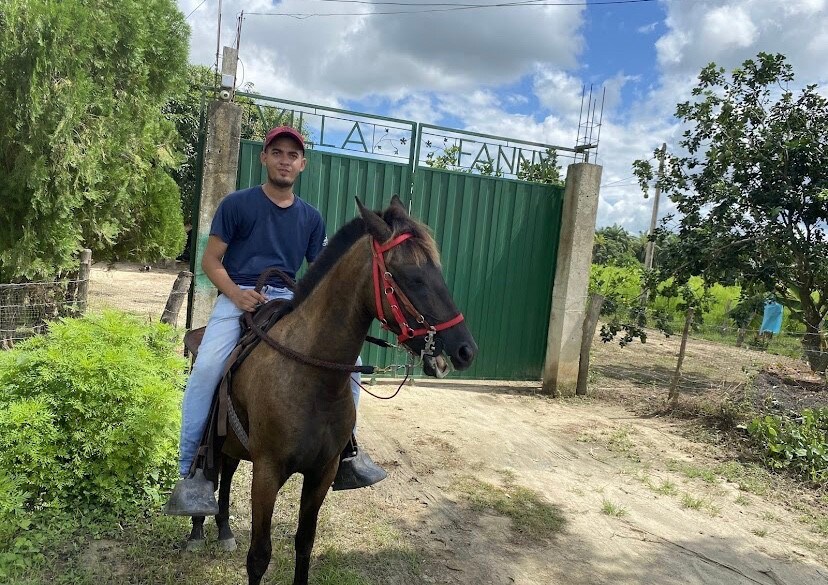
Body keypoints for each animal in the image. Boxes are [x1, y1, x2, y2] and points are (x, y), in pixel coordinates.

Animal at [186, 196, 472, 584]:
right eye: (413, 277)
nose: (465, 349)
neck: (310, 376)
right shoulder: (267, 472)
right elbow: (259, 555)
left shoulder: (322, 472)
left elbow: (305, 542)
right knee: (209, 471)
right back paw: (196, 525)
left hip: (231, 440)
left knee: (227, 470)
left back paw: (225, 530)